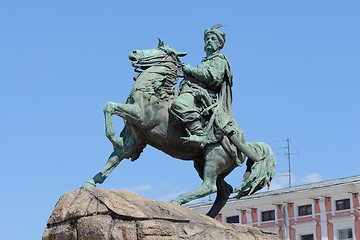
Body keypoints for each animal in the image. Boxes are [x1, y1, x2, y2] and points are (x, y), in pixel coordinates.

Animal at [83, 40, 276, 218]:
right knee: (224, 190)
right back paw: (209, 216)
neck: (152, 92)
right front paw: (92, 182)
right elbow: (114, 158)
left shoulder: (139, 116)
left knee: (210, 186)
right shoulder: (134, 137)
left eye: (159, 49)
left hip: (213, 158)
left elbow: (109, 106)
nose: (134, 52)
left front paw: (113, 137)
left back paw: (178, 200)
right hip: (202, 163)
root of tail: (245, 143)